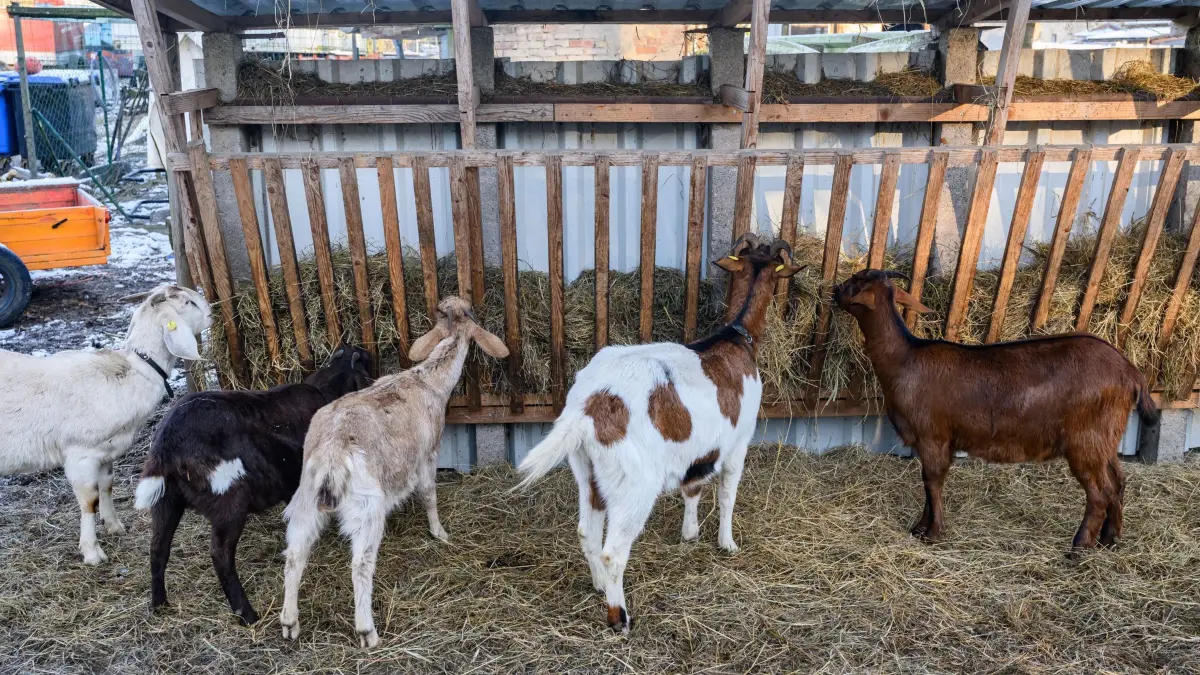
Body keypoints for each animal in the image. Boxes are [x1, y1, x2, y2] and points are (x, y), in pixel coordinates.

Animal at [0, 284, 211, 565]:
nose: (211, 313)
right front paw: (92, 552)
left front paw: (114, 525)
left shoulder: (105, 451)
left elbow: (107, 485)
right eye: (189, 303)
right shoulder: (81, 454)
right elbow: (90, 500)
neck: (133, 371)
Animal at [133, 346, 373, 625]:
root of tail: (167, 444)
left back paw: (159, 603)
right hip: (228, 500)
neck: (326, 389)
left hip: (165, 499)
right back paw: (247, 614)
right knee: (220, 554)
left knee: (158, 547)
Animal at [279, 297, 510, 648]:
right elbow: (428, 493)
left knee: (295, 553)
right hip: (367, 507)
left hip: (305, 496)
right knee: (360, 564)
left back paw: (290, 622)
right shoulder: (428, 453)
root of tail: (332, 453)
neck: (428, 381)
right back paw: (367, 631)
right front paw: (439, 533)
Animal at [514, 234, 805, 633]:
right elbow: (727, 494)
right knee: (614, 552)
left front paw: (690, 534)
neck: (737, 339)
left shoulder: (697, 450)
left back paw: (599, 585)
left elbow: (693, 488)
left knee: (587, 531)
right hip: (634, 482)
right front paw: (727, 543)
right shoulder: (738, 442)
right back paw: (619, 617)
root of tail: (588, 407)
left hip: (588, 471)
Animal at [831, 268, 1160, 551]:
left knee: (1099, 492)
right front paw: (920, 527)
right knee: (1118, 483)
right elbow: (929, 483)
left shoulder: (932, 435)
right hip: (1106, 437)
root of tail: (1131, 372)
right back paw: (1110, 539)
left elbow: (932, 480)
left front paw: (933, 532)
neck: (905, 358)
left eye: (855, 282)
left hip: (1086, 439)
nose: (834, 290)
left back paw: (1079, 547)